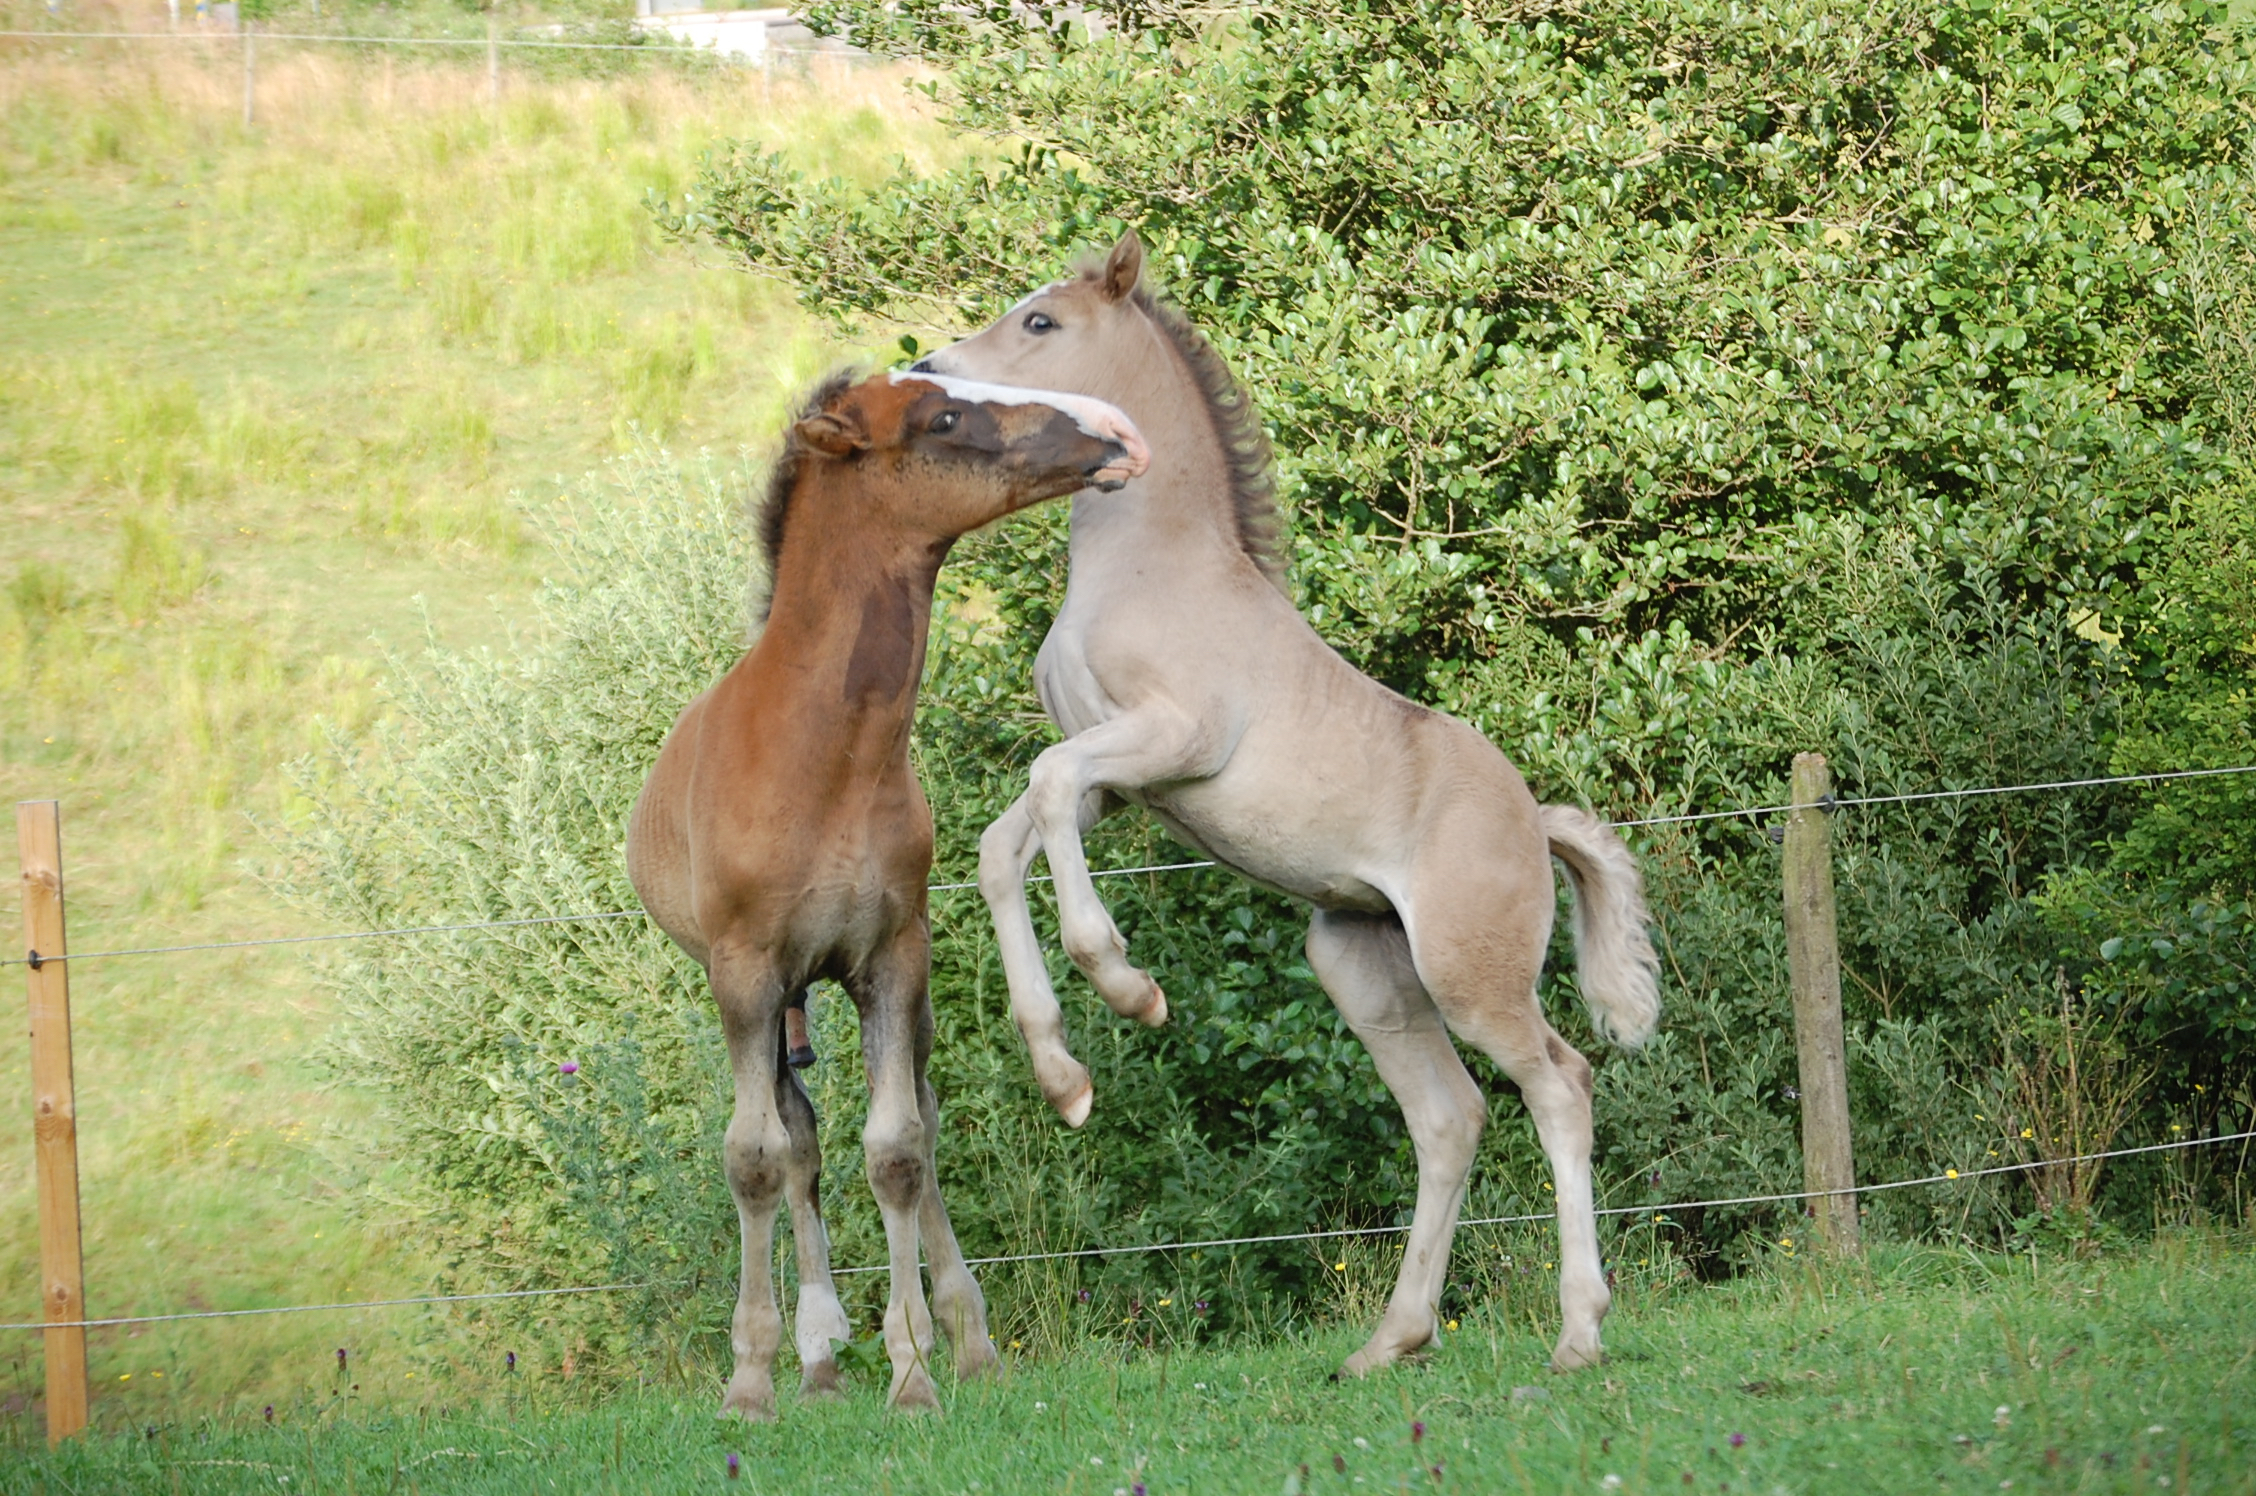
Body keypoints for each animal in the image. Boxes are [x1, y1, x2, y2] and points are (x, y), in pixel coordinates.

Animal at [625, 368, 1149, 1417]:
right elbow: (755, 1158)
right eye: (941, 416)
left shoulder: (892, 957)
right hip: (776, 997)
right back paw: (817, 1354)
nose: (1111, 432)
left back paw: (950, 1341)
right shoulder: (745, 973)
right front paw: (751, 1381)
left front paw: (915, 1370)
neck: (826, 757)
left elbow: (900, 1146)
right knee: (796, 1140)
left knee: (907, 1120)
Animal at [909, 233, 1661, 1378]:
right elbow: (1008, 841)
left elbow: (1042, 787)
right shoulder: (1118, 782)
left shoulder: (1169, 740)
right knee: (1449, 1118)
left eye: (1040, 321)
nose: (933, 370)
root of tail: (1535, 824)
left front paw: (1127, 986)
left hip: (1472, 978)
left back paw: (1577, 1332)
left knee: (1560, 1085)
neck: (1151, 563)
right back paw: (1389, 1342)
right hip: (1361, 968)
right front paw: (1065, 1077)